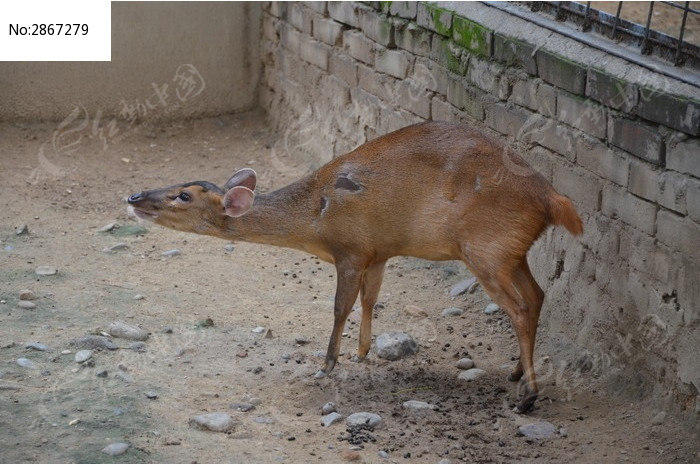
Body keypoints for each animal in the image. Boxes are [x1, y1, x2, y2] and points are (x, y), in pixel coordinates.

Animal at [129, 120, 584, 414]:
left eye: (183, 195)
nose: (134, 196)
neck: (314, 216)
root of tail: (553, 199)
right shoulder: (377, 252)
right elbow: (370, 299)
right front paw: (364, 351)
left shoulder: (350, 251)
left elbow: (340, 307)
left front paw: (327, 364)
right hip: (511, 251)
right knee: (537, 296)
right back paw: (516, 373)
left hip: (485, 248)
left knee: (519, 306)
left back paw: (528, 398)